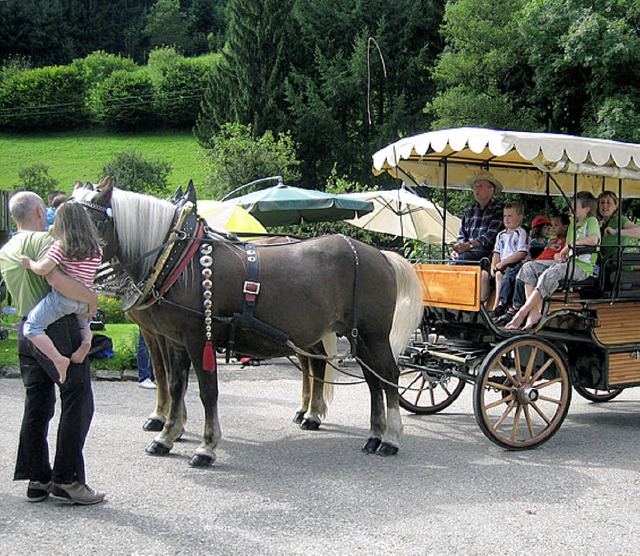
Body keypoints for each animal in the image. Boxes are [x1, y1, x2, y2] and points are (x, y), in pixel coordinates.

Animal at [74, 179, 424, 464]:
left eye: (94, 220)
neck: (180, 259)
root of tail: (379, 254)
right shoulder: (174, 340)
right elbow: (174, 385)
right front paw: (167, 436)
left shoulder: (198, 340)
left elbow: (207, 391)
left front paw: (206, 446)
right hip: (354, 336)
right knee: (370, 380)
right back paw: (373, 434)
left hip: (372, 334)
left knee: (387, 376)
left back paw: (389, 438)